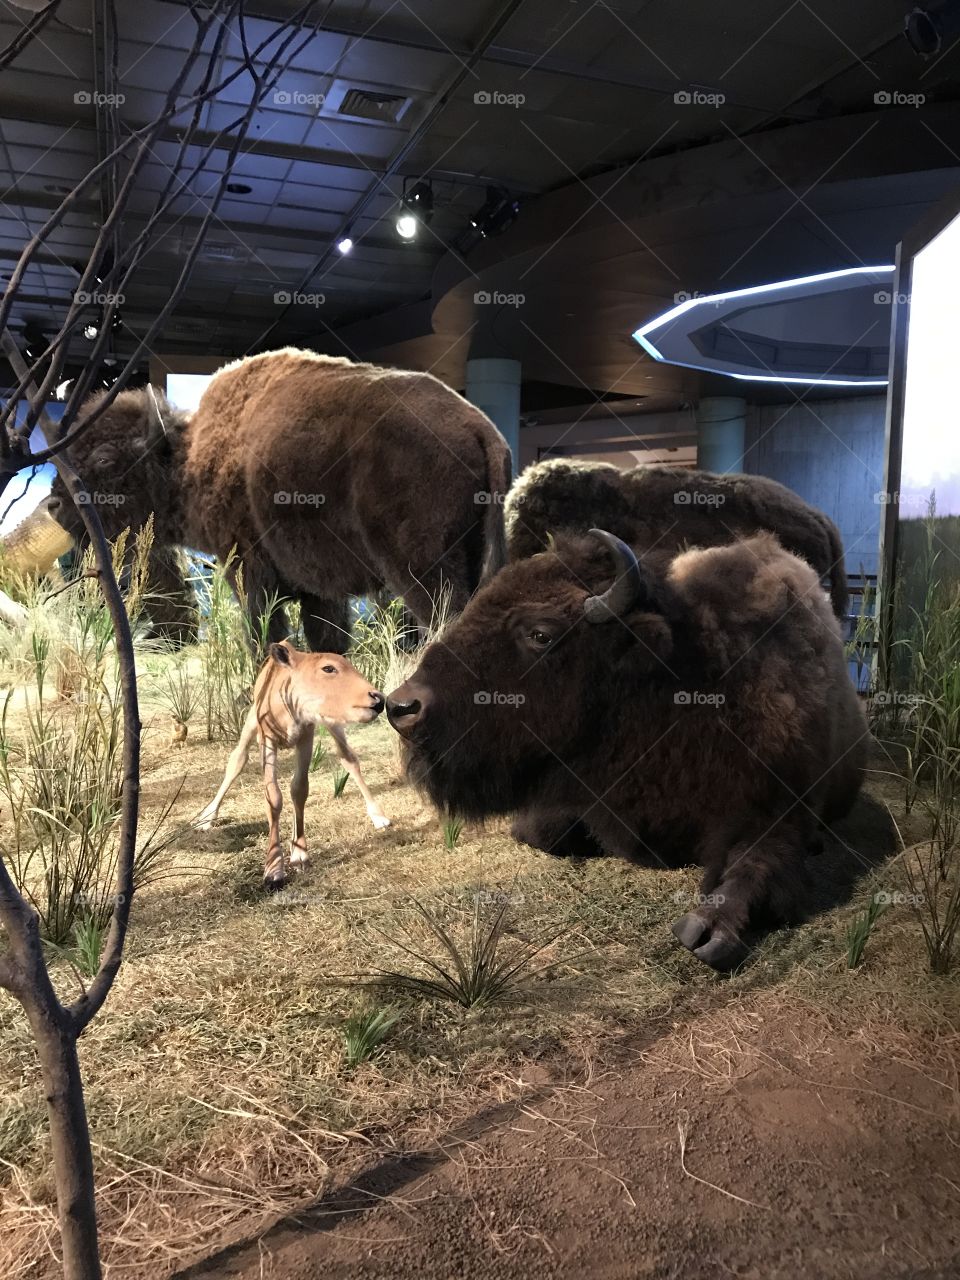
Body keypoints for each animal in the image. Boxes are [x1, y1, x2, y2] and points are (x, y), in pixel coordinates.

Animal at [47, 348, 512, 650]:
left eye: (105, 458)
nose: (55, 505)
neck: (188, 457)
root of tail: (481, 428)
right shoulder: (319, 590)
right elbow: (328, 640)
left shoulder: (247, 569)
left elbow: (265, 635)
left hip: (422, 573)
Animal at [199, 645, 391, 885]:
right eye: (328, 668)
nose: (377, 698)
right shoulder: (266, 737)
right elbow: (273, 795)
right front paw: (273, 867)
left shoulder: (307, 734)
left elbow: (299, 789)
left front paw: (299, 853)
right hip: (252, 722)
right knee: (237, 760)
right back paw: (207, 816)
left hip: (331, 720)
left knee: (348, 758)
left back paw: (378, 815)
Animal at [386, 524, 870, 962]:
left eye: (541, 633)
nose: (402, 706)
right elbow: (542, 831)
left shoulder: (777, 810)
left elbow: (756, 867)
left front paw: (708, 928)